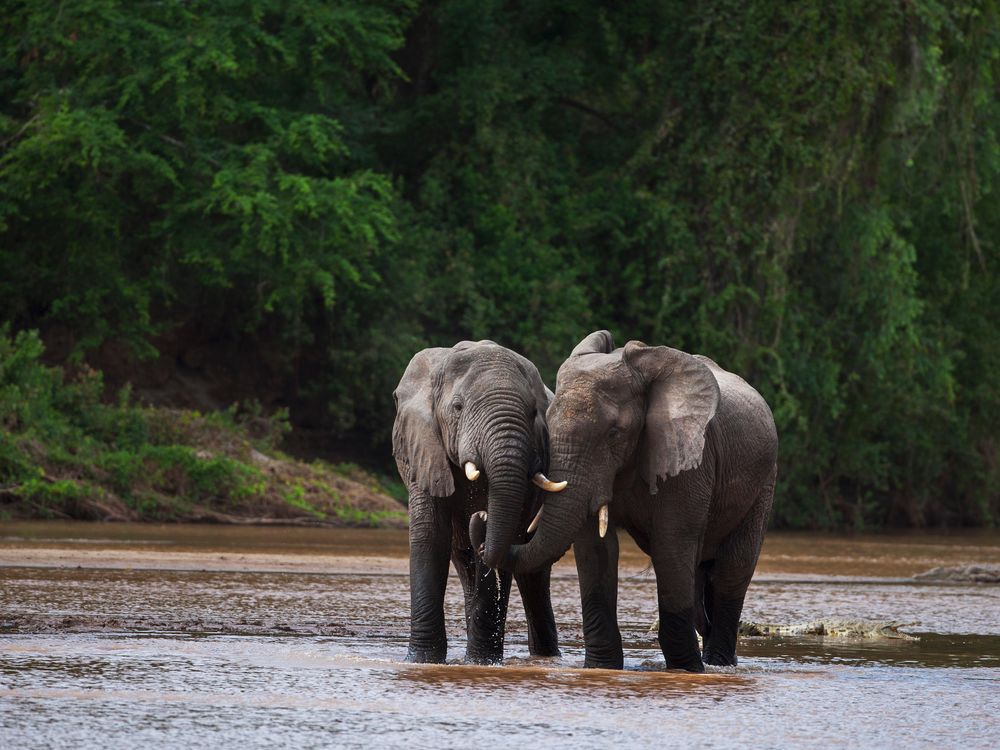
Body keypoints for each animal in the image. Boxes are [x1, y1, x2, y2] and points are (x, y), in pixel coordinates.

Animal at [390, 340, 564, 664]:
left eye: (534, 412)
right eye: (457, 407)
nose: (480, 516)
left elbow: (505, 541)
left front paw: (482, 662)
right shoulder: (423, 449)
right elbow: (430, 537)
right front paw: (422, 661)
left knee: (532, 575)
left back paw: (546, 657)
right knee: (465, 562)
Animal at [472, 332, 776, 672]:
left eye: (614, 433)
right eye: (547, 424)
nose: (481, 517)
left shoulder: (690, 461)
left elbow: (671, 545)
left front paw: (685, 669)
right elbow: (595, 548)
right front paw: (602, 667)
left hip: (764, 481)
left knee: (732, 568)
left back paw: (718, 664)